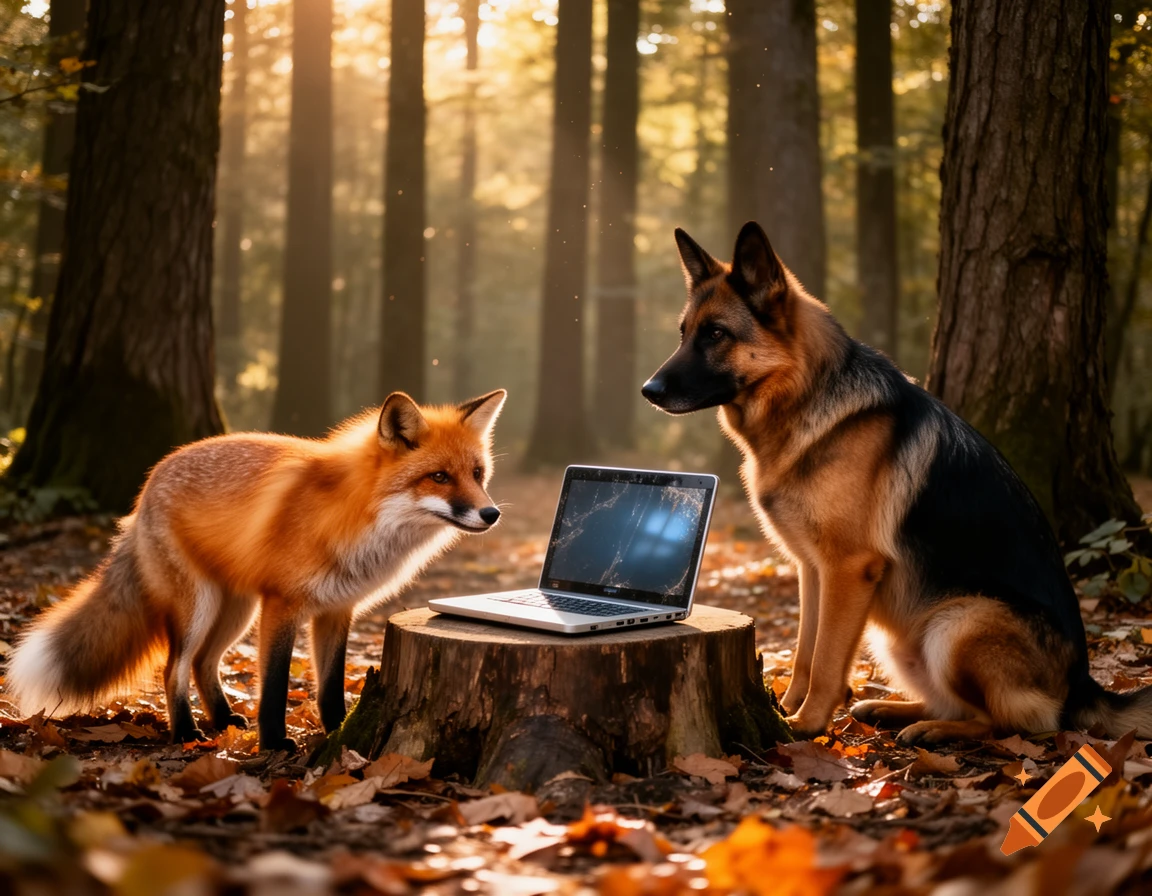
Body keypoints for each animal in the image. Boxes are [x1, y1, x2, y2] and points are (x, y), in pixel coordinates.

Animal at [5, 390, 507, 751]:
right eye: (439, 477)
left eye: (477, 474)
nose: (491, 514)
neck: (356, 516)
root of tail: (147, 485)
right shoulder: (283, 604)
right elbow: (276, 686)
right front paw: (274, 744)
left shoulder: (335, 610)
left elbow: (329, 687)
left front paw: (337, 734)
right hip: (202, 607)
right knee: (173, 668)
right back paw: (186, 733)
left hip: (237, 610)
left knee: (204, 663)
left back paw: (224, 720)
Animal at [642, 221, 1152, 744]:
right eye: (684, 334)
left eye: (715, 334)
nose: (648, 390)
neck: (808, 395)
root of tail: (1083, 685)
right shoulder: (812, 571)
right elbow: (806, 651)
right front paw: (784, 710)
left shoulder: (848, 569)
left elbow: (826, 660)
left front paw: (806, 723)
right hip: (897, 638)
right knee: (957, 704)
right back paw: (891, 710)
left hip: (956, 623)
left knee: (1012, 722)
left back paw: (933, 730)